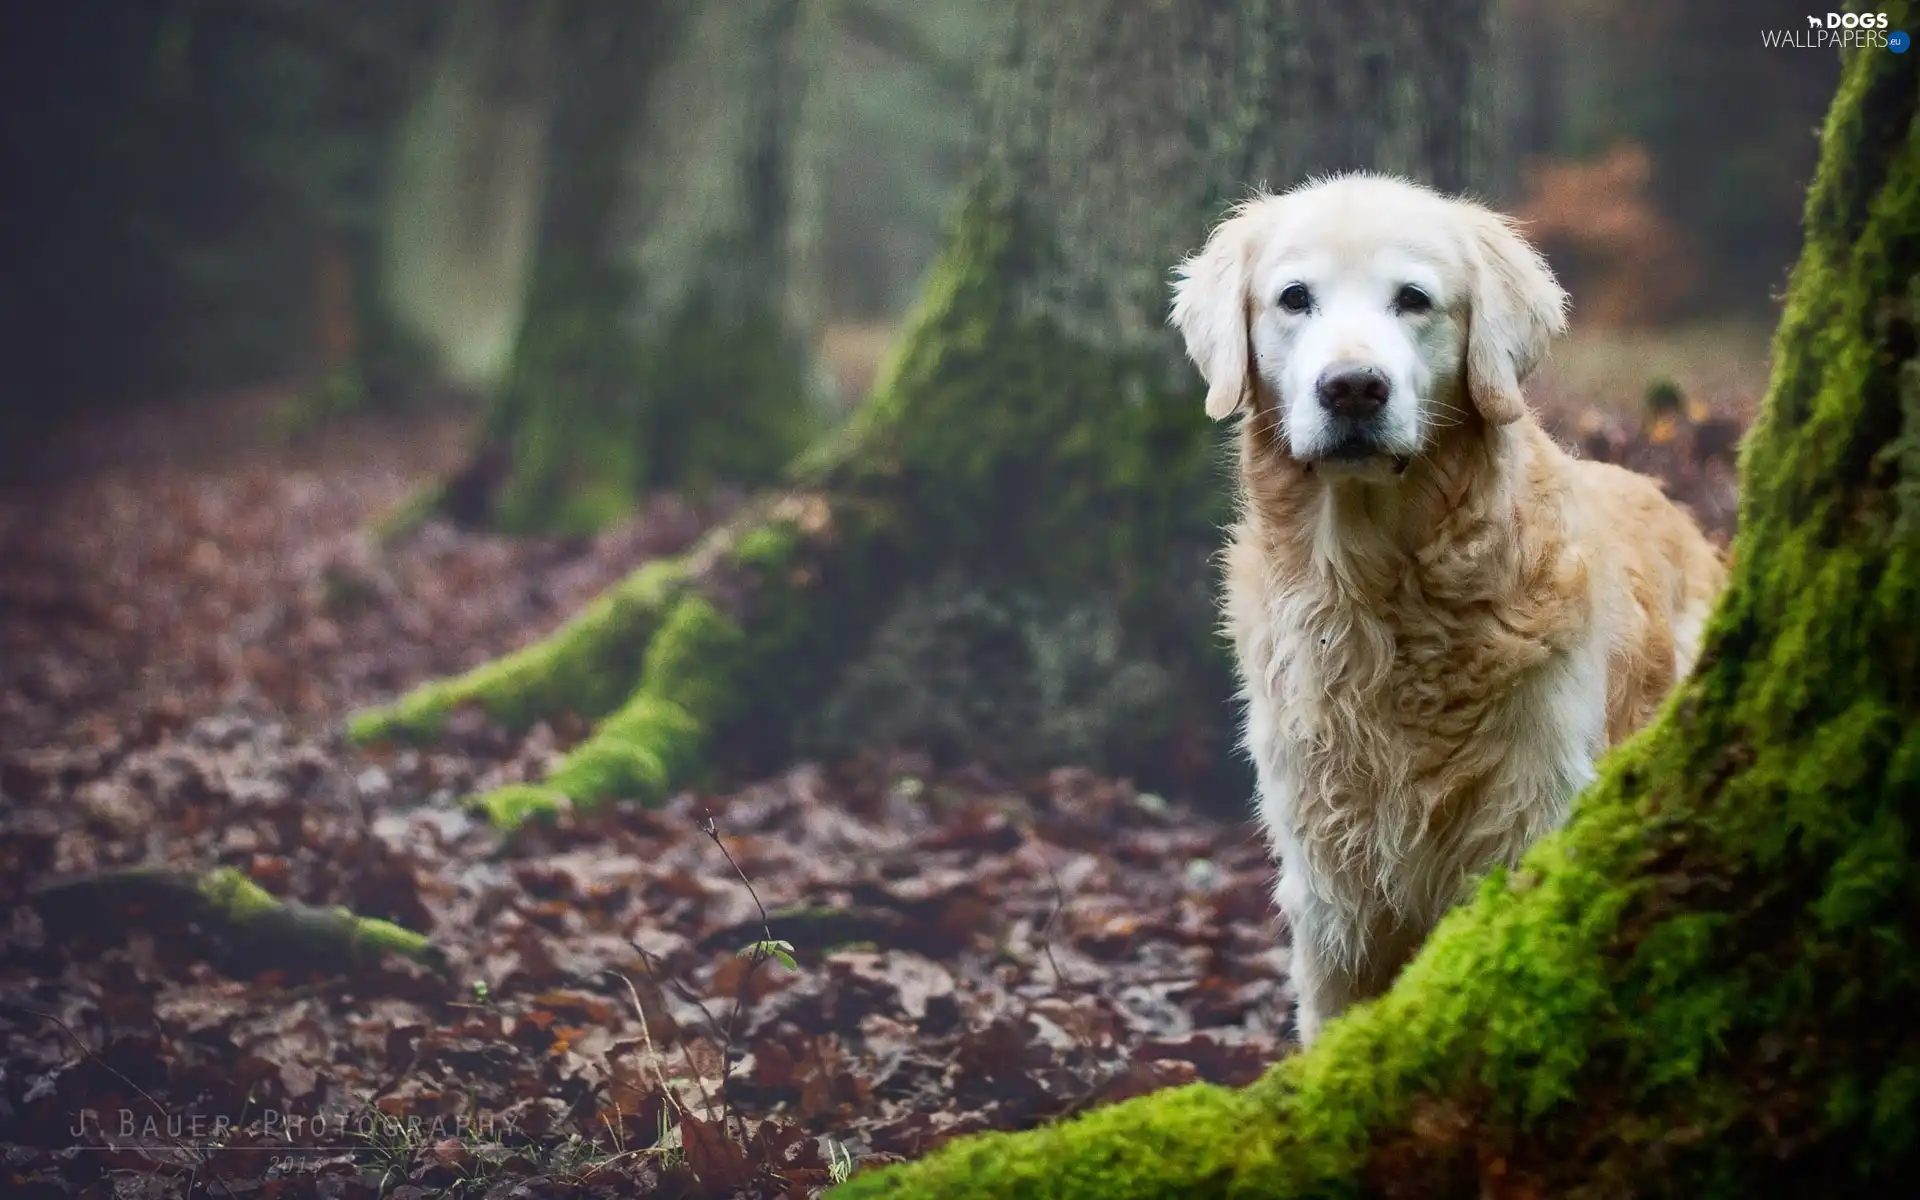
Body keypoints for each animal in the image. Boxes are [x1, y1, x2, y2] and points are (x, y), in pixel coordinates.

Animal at [1167, 172, 1728, 1044]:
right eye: (1294, 298)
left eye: (1414, 299)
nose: (1353, 388)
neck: (1383, 590)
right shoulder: (1331, 888)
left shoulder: (1528, 818)